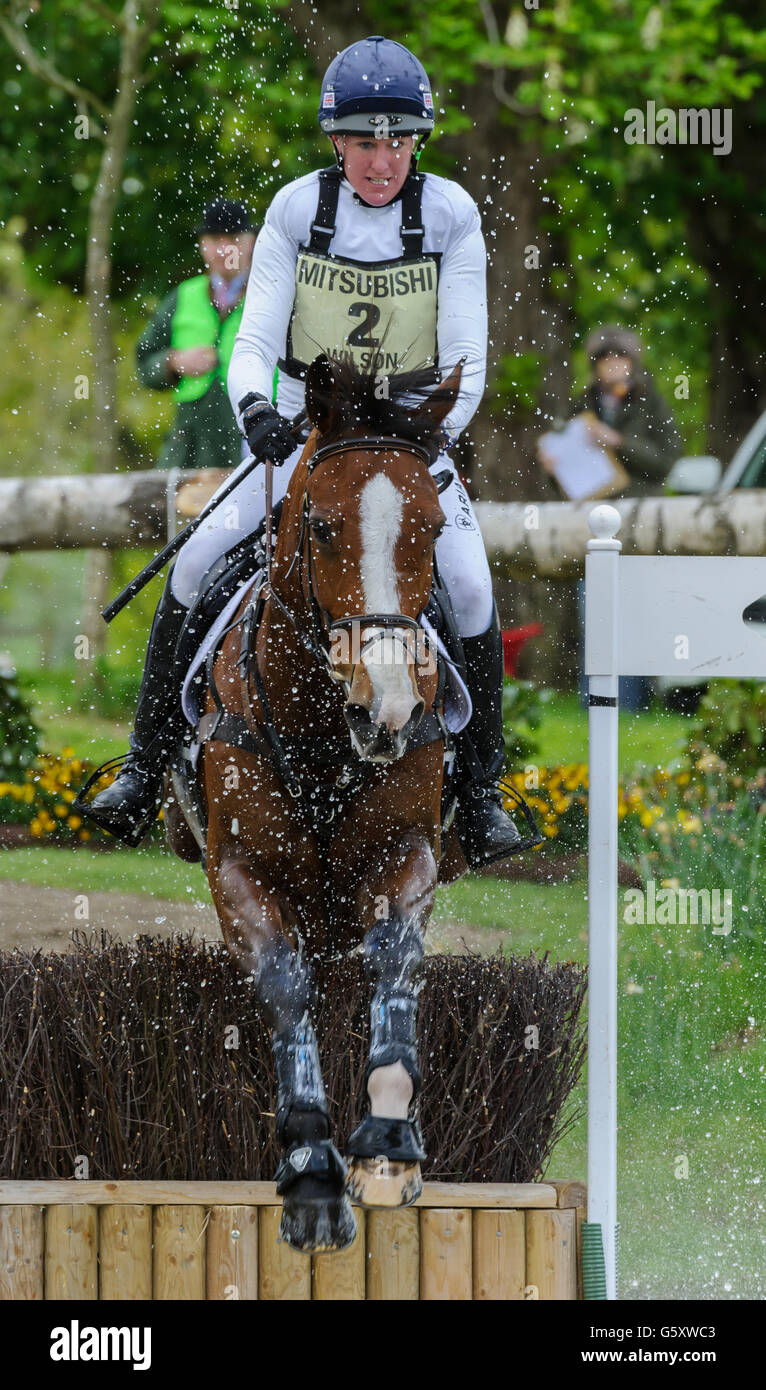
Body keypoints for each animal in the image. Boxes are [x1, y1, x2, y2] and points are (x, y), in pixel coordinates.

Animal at [165, 355, 475, 1251]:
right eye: (327, 527)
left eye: (431, 529)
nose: (391, 710)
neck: (324, 733)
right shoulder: (240, 872)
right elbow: (285, 987)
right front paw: (310, 1168)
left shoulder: (406, 857)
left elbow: (397, 966)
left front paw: (388, 1147)